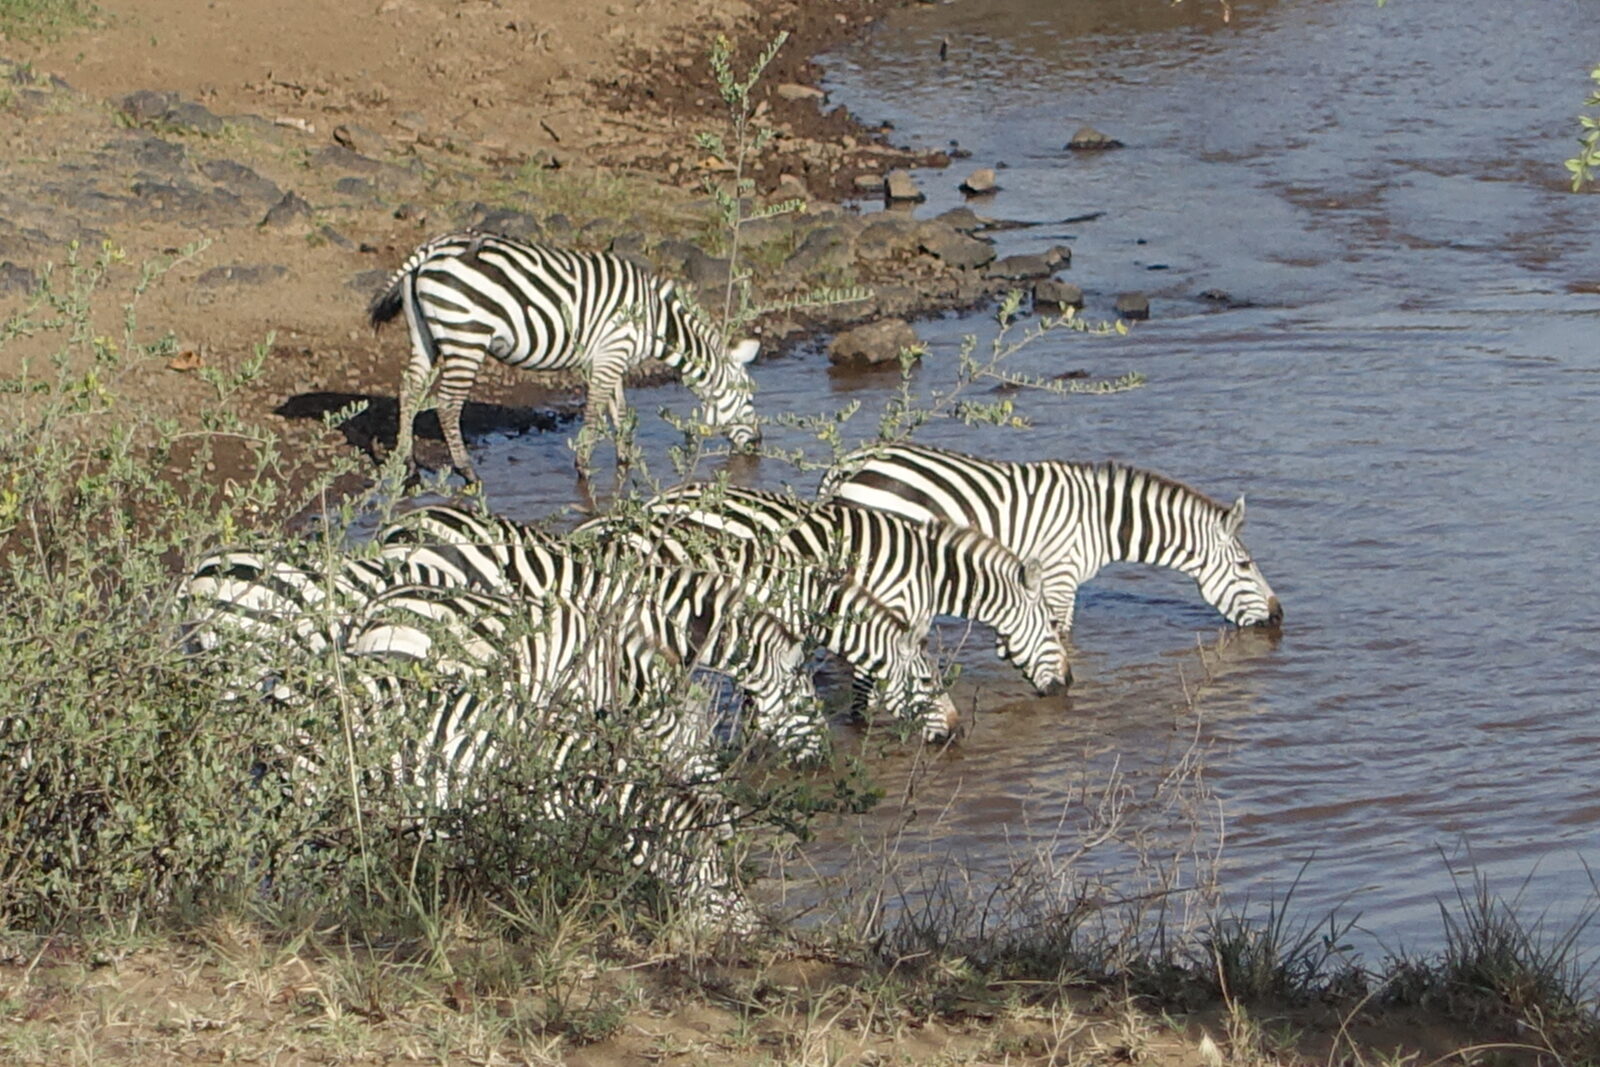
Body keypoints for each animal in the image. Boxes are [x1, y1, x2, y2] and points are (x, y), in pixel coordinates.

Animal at [368, 231, 762, 482]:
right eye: (748, 398)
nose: (758, 446)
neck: (656, 319)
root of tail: (432, 248)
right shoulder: (611, 355)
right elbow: (594, 414)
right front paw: (584, 466)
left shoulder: (612, 357)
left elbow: (619, 414)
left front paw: (624, 461)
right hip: (466, 335)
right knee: (448, 405)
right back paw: (468, 471)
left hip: (424, 334)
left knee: (410, 389)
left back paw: (408, 463)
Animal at [818, 442, 1283, 636]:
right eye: (1245, 566)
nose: (1279, 617)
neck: (1101, 521)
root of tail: (853, 463)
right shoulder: (1062, 575)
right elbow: (1063, 633)